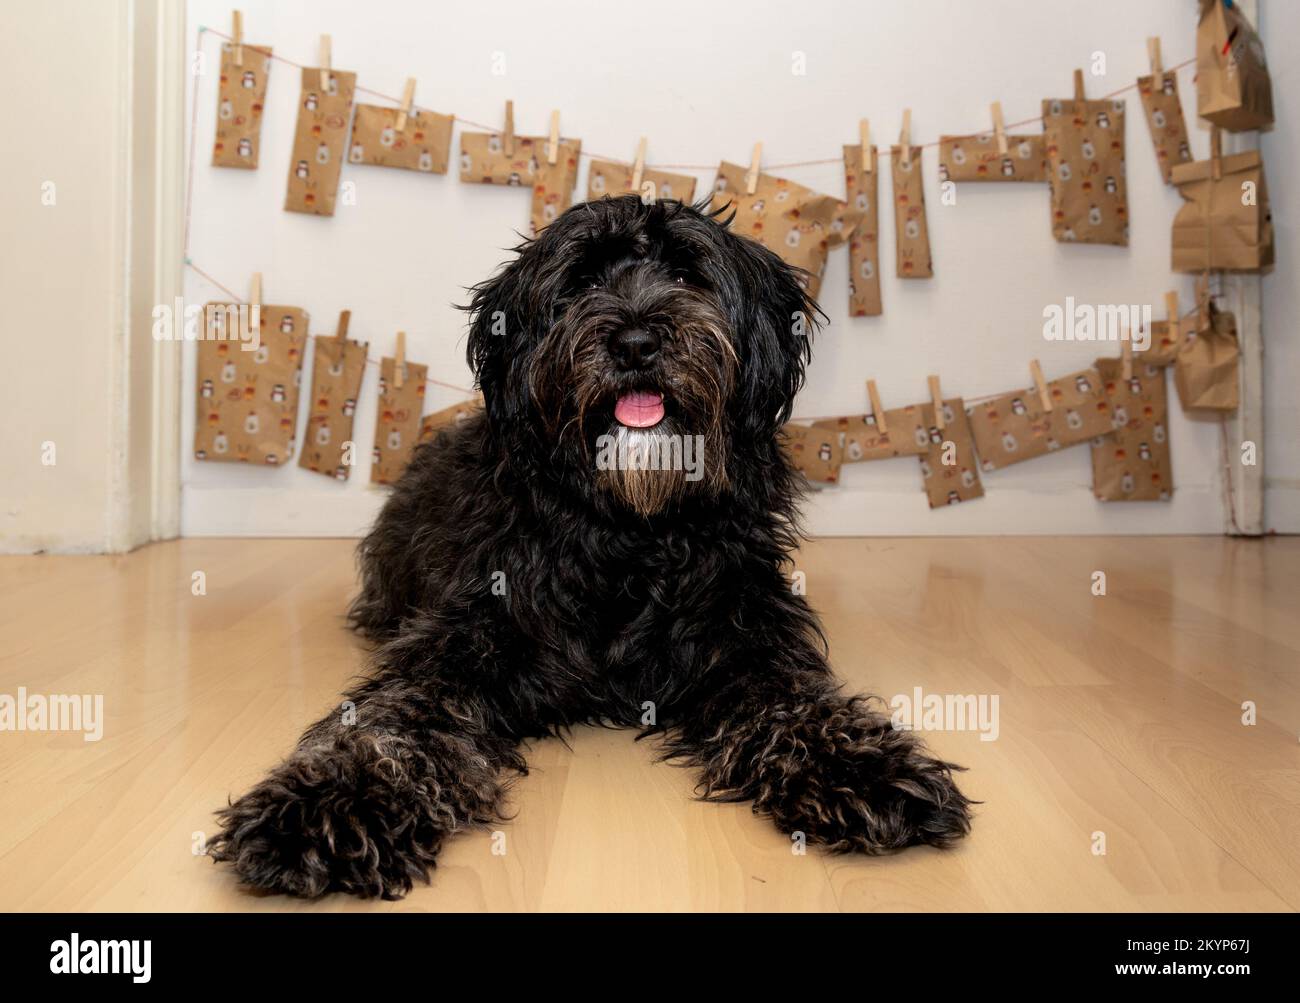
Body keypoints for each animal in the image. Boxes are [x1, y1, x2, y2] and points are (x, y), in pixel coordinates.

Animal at [208, 196, 972, 899]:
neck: (630, 533)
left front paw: (864, 767)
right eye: (578, 283)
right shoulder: (471, 628)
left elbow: (793, 698)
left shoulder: (742, 625)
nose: (635, 342)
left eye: (687, 272)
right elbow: (395, 715)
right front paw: (330, 801)